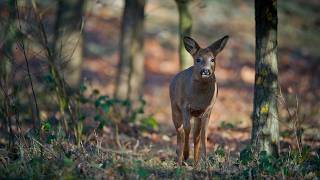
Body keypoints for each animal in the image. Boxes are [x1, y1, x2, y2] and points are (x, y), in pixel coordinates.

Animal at [169, 34, 229, 165]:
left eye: (213, 59)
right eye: (198, 59)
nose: (206, 71)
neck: (198, 98)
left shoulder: (208, 109)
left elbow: (203, 134)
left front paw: (204, 160)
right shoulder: (185, 105)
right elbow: (187, 128)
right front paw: (186, 154)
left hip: (196, 115)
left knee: (195, 133)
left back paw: (195, 162)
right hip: (175, 108)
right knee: (179, 131)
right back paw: (179, 156)